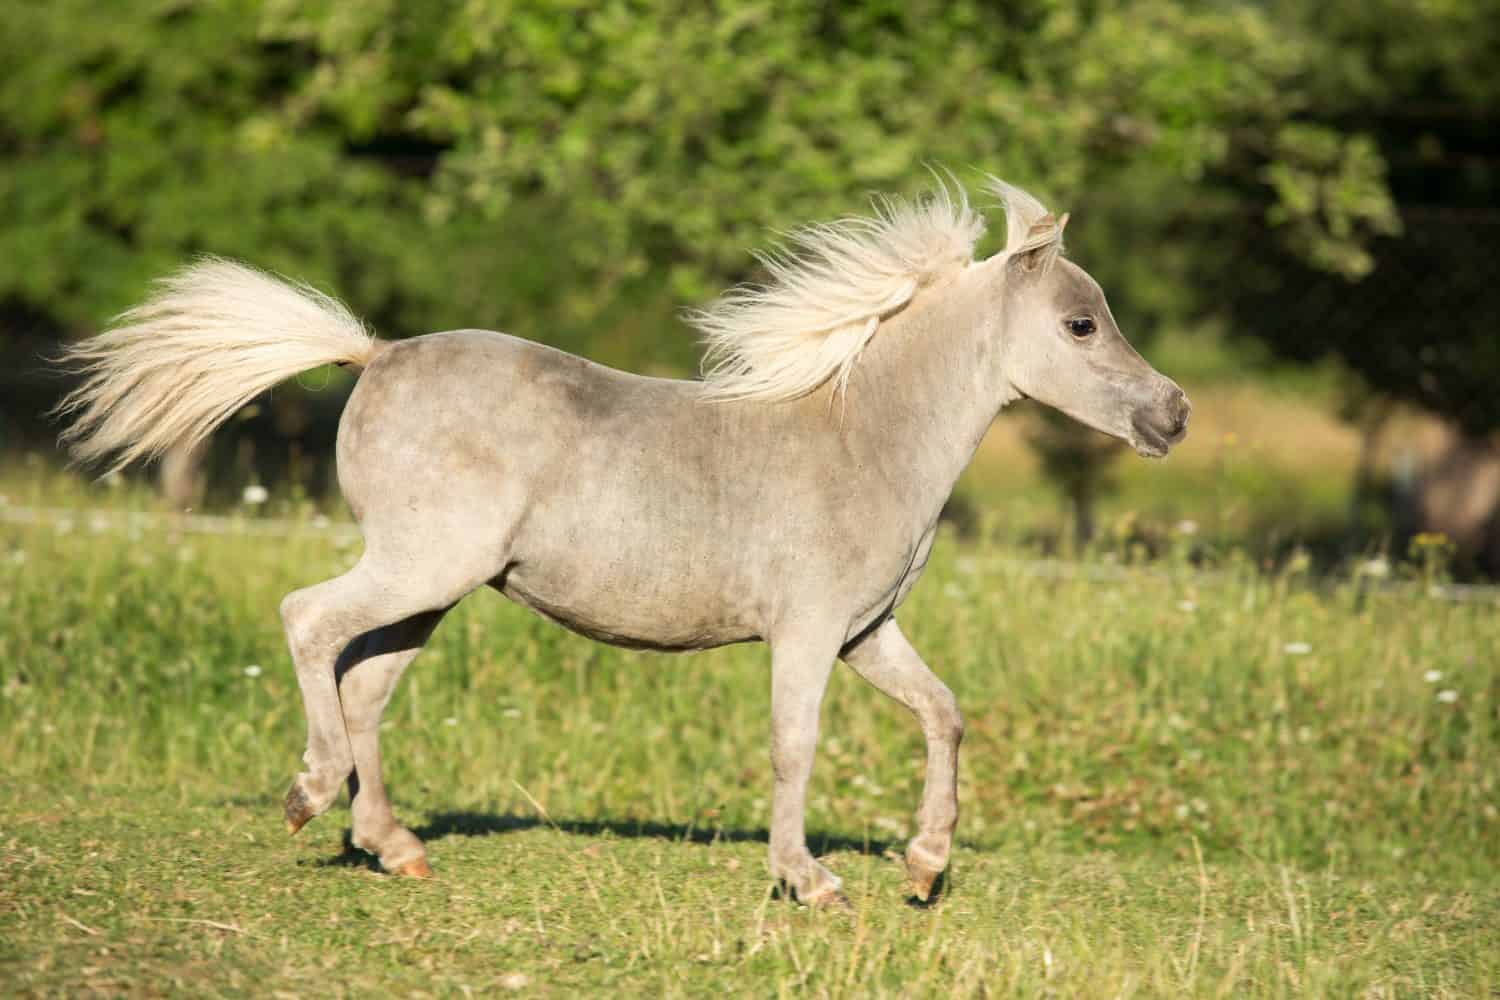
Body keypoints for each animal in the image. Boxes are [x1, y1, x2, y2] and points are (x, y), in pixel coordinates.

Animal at [58, 177, 1190, 906]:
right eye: (1082, 325)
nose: (1173, 415)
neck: (862, 435)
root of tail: (373, 353)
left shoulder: (868, 634)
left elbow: (945, 716)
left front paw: (923, 867)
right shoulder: (809, 632)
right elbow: (795, 743)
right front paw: (810, 880)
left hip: (432, 588)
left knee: (364, 682)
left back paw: (393, 846)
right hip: (422, 567)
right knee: (308, 623)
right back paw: (309, 793)